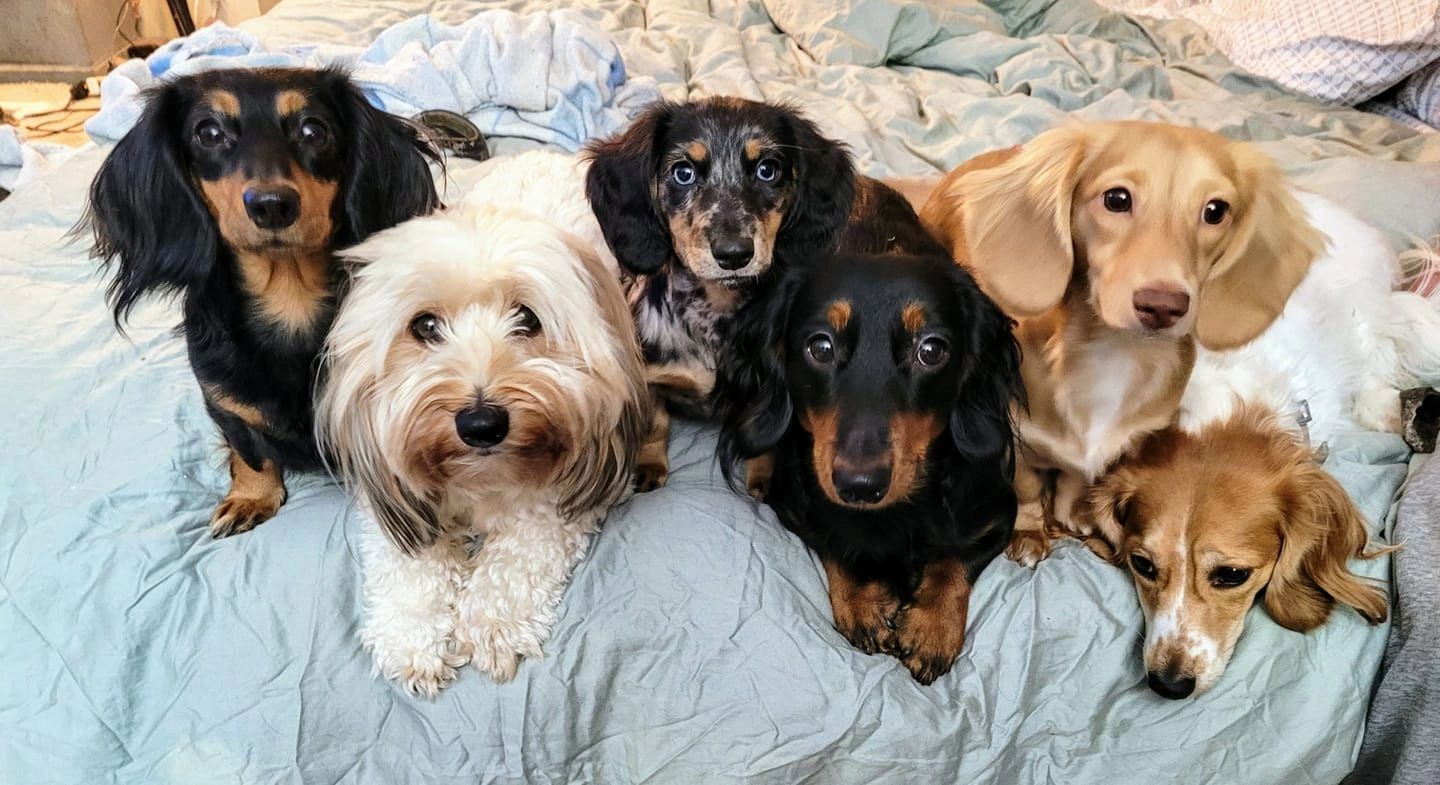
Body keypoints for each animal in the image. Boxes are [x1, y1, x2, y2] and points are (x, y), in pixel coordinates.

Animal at [324, 151, 650, 691]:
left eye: (527, 319)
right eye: (425, 326)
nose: (481, 424)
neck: (481, 479)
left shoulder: (563, 492)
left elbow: (522, 551)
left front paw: (493, 621)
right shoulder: (393, 492)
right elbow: (408, 565)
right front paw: (411, 636)